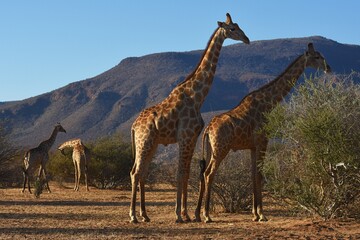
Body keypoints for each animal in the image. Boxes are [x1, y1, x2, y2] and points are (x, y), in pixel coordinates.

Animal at [129, 13, 250, 223]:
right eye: (233, 28)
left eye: (238, 25)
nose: (247, 39)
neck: (197, 97)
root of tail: (134, 126)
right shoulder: (185, 136)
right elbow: (180, 173)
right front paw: (179, 214)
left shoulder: (192, 137)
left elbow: (186, 174)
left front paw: (186, 214)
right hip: (145, 141)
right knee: (136, 173)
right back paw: (133, 216)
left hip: (151, 143)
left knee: (141, 172)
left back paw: (145, 215)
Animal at [195, 42, 330, 223]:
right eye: (317, 56)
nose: (328, 68)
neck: (269, 103)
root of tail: (208, 129)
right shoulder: (263, 141)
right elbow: (259, 175)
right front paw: (262, 214)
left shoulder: (253, 146)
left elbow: (253, 175)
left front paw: (254, 214)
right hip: (221, 149)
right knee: (209, 174)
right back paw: (207, 215)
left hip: (211, 149)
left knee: (203, 173)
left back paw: (198, 213)